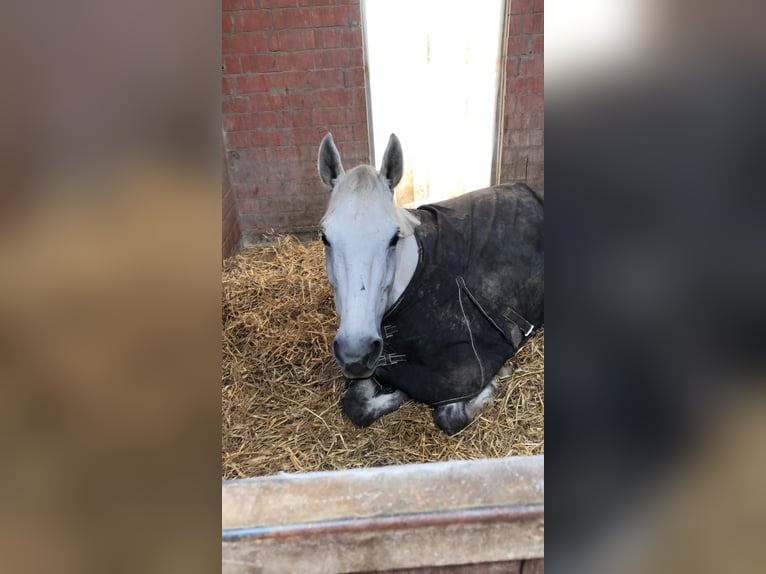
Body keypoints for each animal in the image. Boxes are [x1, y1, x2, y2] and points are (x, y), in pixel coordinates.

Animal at [318, 133, 544, 434]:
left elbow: (451, 417)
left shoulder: (465, 372)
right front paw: (395, 394)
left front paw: (497, 379)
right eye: (325, 237)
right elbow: (355, 404)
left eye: (394, 238)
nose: (357, 353)